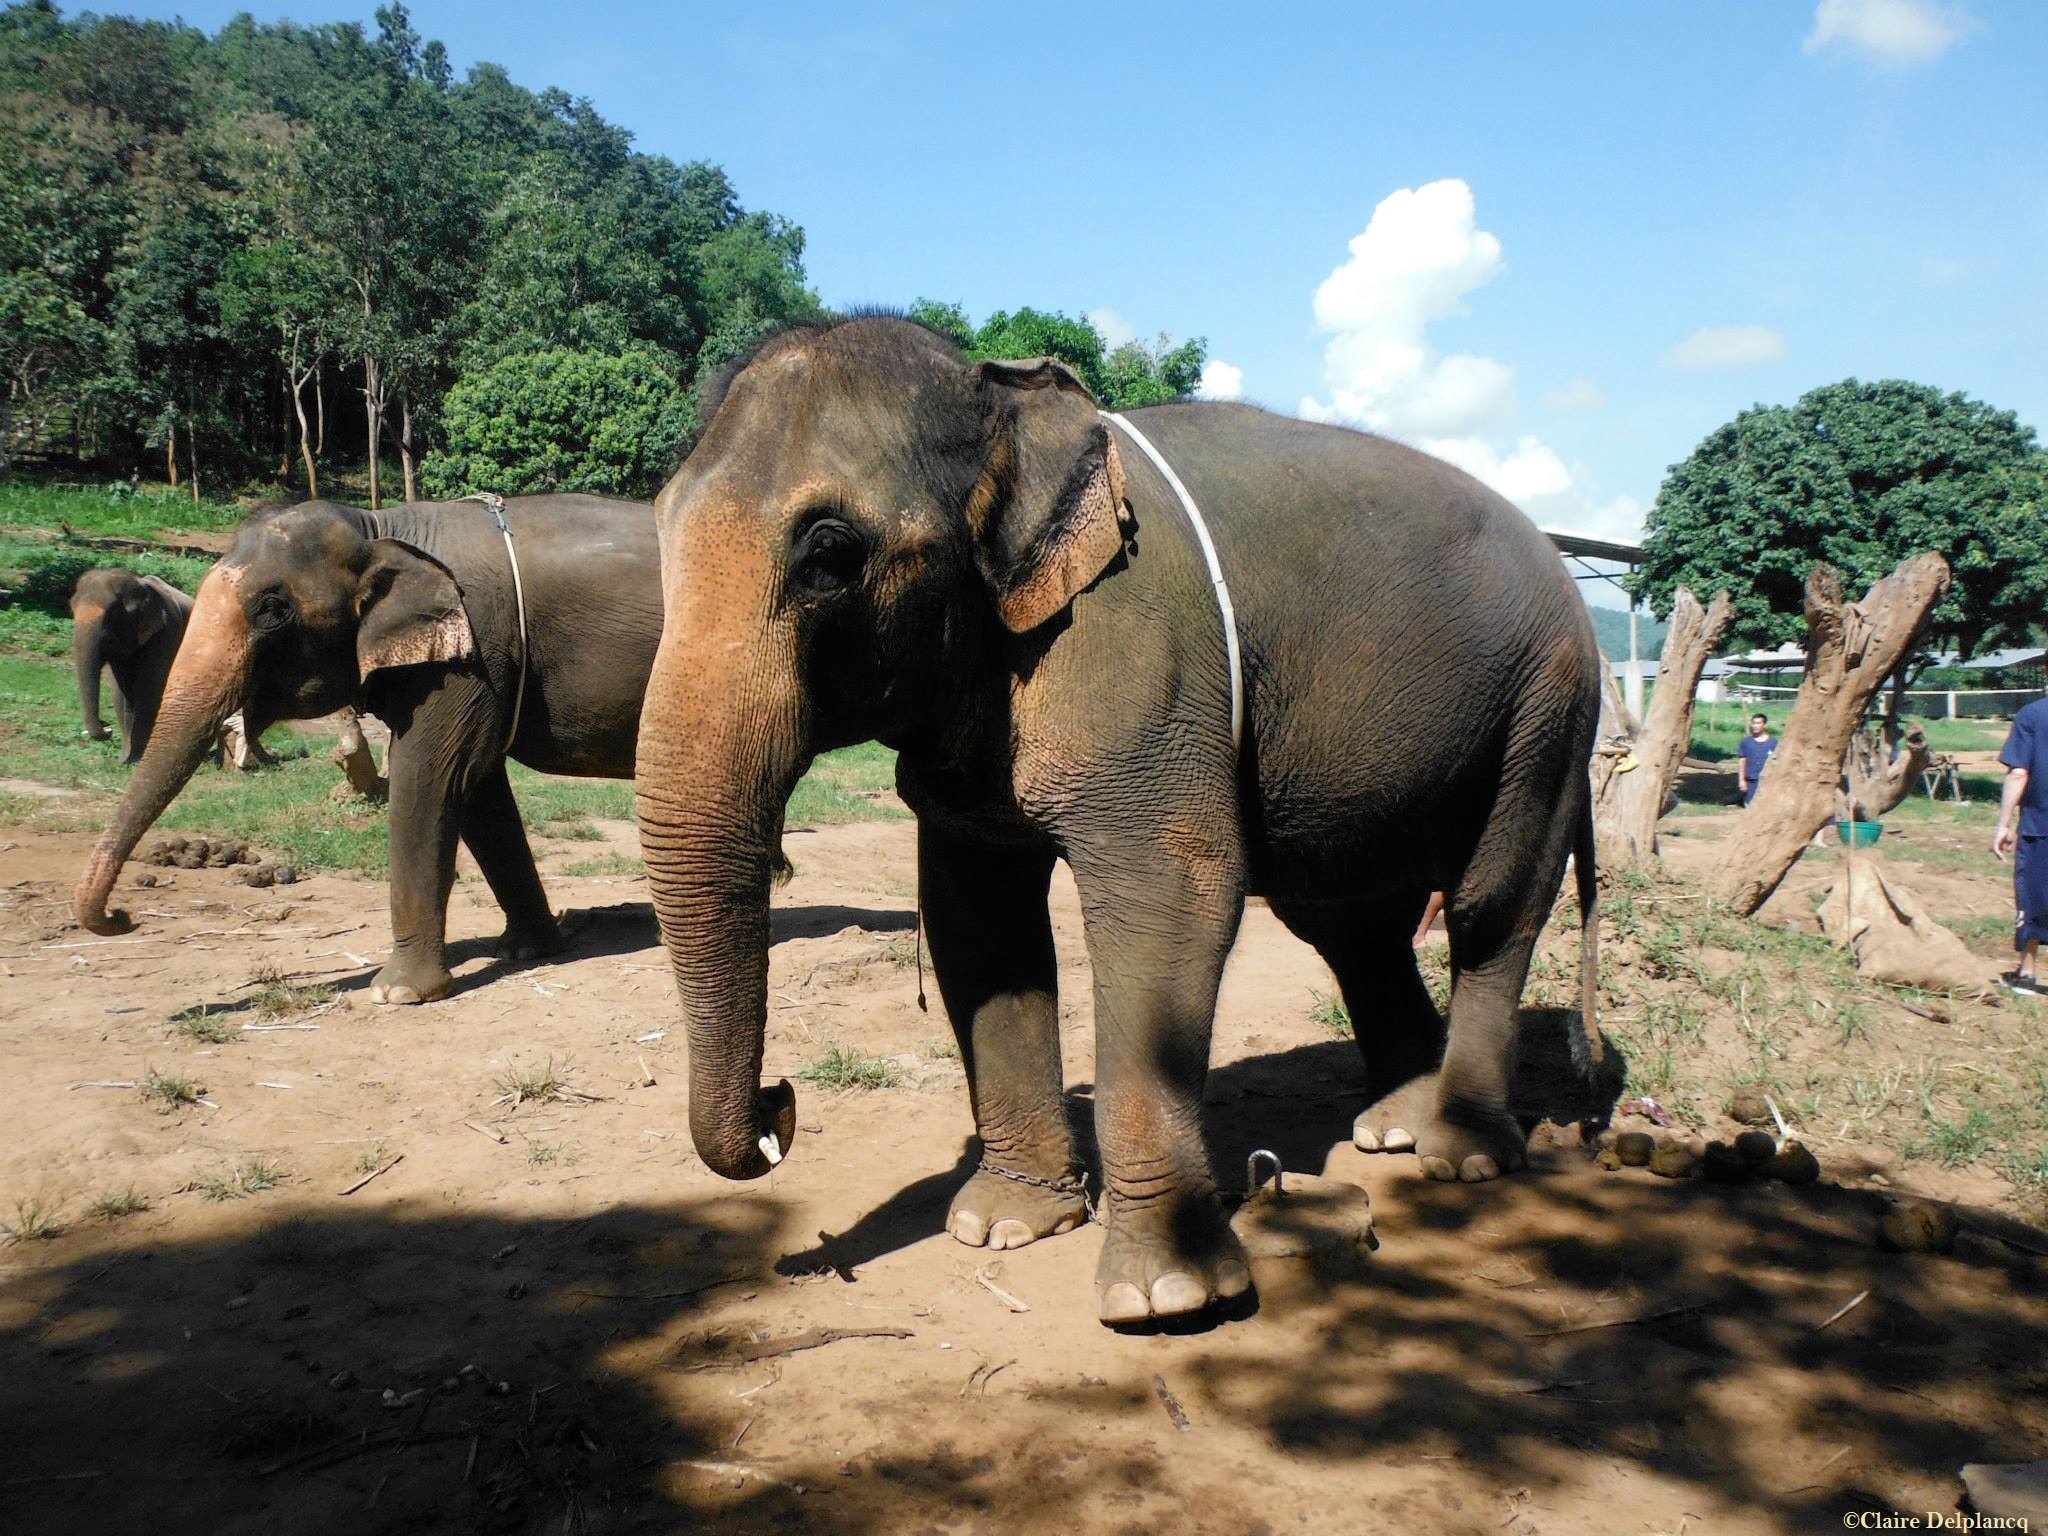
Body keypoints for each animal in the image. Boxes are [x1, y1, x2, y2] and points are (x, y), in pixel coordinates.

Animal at [71, 568, 192, 763]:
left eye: (112, 613)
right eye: (71, 608)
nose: (107, 727)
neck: (141, 585)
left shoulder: (167, 631)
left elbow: (147, 688)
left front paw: (137, 759)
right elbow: (120, 693)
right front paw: (125, 760)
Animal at [633, 315, 1605, 1326]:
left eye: (828, 552)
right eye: (658, 525)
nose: (779, 1107)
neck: (1000, 399)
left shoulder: (1138, 653)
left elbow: (1172, 899)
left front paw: (1166, 1297)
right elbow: (981, 930)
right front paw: (1003, 1227)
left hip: (1550, 702)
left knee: (1492, 907)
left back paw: (1462, 1156)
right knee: (1352, 926)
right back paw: (1391, 1130)